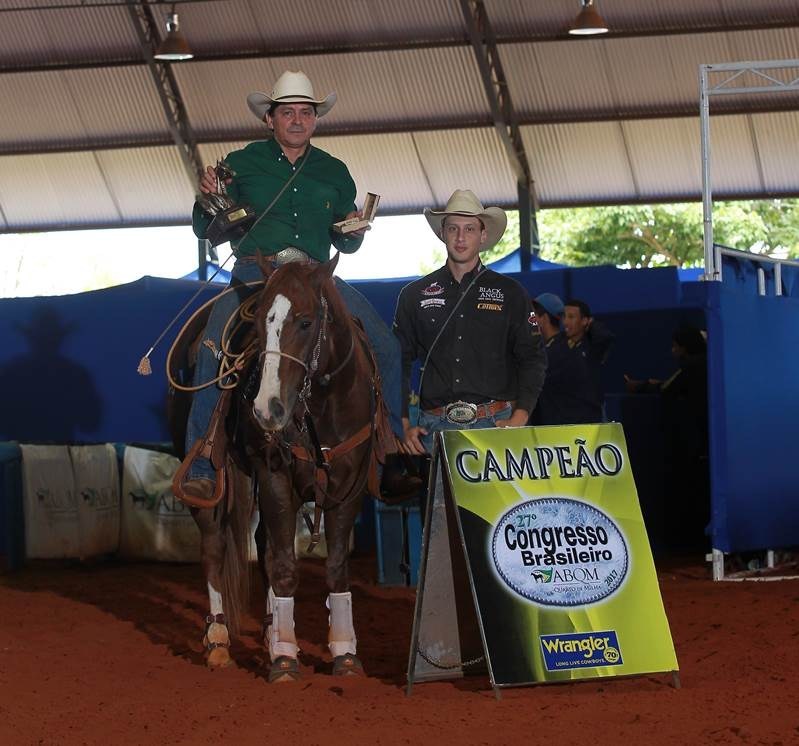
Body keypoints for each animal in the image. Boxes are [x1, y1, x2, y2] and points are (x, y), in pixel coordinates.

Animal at [169, 254, 388, 682]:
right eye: (257, 323)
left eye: (305, 322)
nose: (266, 408)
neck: (322, 403)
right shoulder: (275, 477)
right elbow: (285, 566)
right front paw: (284, 658)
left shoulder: (349, 487)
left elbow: (336, 567)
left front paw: (344, 651)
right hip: (215, 484)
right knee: (214, 546)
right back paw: (219, 639)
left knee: (265, 546)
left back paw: (271, 630)